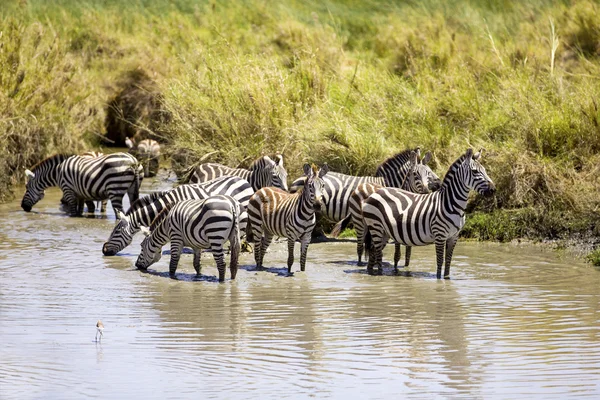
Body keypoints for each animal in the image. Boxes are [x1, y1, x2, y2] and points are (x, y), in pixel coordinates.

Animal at [360, 149, 496, 278]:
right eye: (475, 171)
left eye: (485, 170)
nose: (493, 190)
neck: (450, 203)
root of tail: (375, 193)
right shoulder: (440, 235)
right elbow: (440, 262)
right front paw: (439, 281)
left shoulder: (454, 236)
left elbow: (448, 262)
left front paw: (447, 279)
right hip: (376, 226)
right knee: (378, 254)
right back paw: (379, 275)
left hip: (384, 232)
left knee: (372, 253)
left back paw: (371, 272)